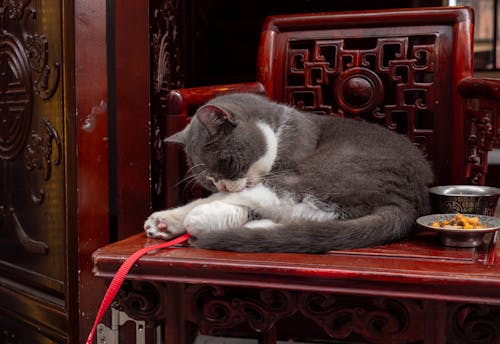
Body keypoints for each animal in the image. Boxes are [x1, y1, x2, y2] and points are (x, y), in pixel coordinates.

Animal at [143, 92, 432, 253]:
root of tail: (409, 199)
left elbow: (231, 197)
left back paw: (189, 219)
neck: (279, 130)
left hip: (324, 171)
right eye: (209, 180)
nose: (222, 185)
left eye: (228, 164)